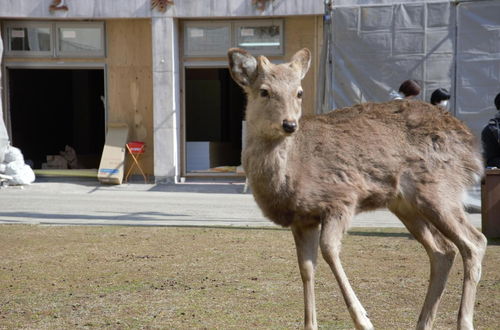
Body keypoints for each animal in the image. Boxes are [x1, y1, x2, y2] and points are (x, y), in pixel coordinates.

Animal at [228, 47, 488, 330]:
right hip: (407, 205)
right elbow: (306, 268)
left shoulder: (342, 199)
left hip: (439, 190)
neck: (291, 174)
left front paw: (363, 320)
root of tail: (472, 147)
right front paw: (311, 323)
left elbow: (330, 251)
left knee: (475, 242)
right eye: (264, 91)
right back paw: (423, 322)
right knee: (443, 251)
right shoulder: (302, 219)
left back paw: (464, 322)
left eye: (299, 92)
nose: (289, 125)